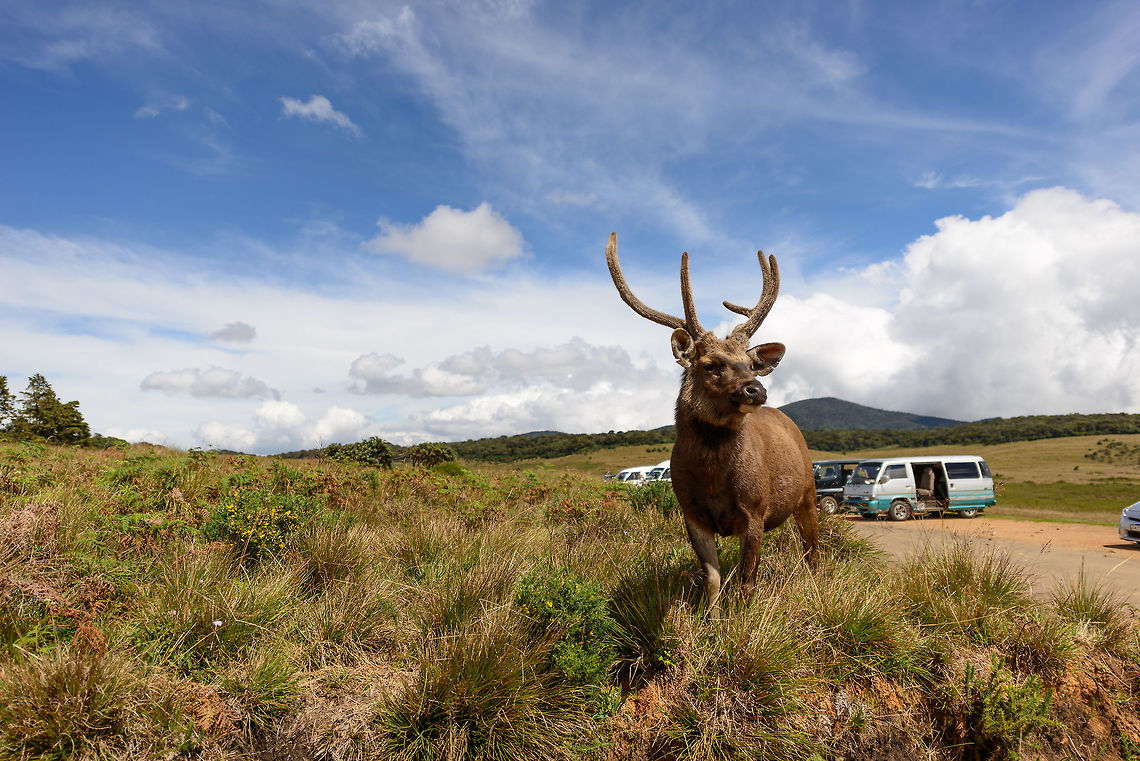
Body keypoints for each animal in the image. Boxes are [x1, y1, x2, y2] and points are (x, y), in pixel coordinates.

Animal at [606, 233, 818, 605]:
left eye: (749, 365)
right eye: (711, 365)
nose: (756, 390)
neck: (713, 479)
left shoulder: (755, 509)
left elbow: (746, 582)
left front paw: (743, 618)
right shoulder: (692, 515)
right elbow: (713, 581)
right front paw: (712, 617)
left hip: (808, 490)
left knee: (813, 549)